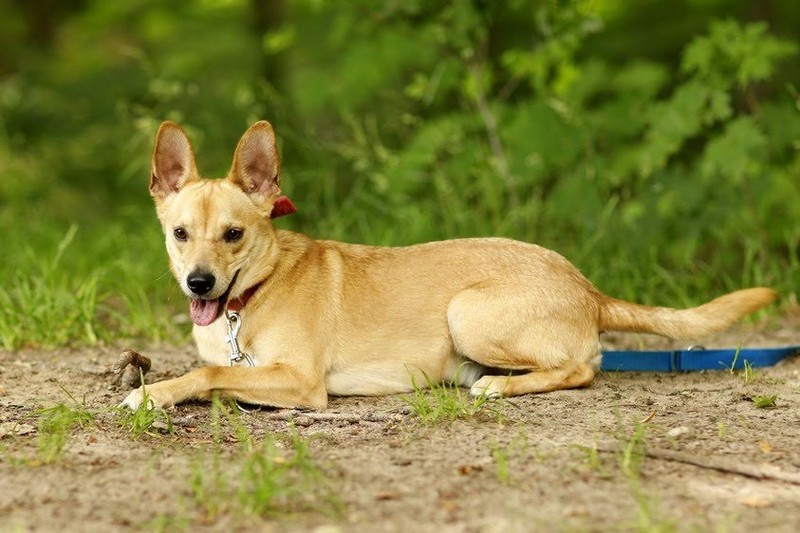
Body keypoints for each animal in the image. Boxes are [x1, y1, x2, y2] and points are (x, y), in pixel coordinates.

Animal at [122, 120, 780, 410]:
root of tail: (587, 287)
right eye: (180, 234)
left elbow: (208, 373)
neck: (249, 298)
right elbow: (212, 370)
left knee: (583, 367)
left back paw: (503, 384)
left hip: (468, 313)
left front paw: (154, 393)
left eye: (234, 234)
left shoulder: (302, 383)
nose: (198, 282)